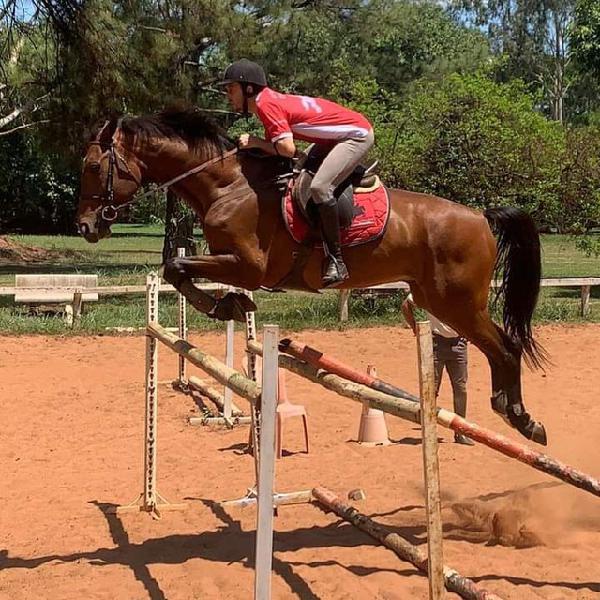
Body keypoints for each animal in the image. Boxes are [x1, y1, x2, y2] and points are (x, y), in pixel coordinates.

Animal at [78, 109, 548, 446]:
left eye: (92, 166)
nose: (85, 226)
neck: (227, 186)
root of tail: (481, 217)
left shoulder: (249, 265)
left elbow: (176, 267)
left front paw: (226, 305)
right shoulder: (233, 262)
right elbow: (178, 270)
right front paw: (234, 304)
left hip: (458, 302)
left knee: (506, 347)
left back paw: (521, 418)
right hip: (438, 299)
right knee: (500, 346)